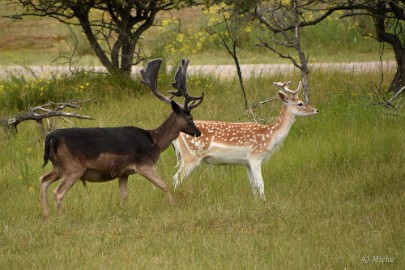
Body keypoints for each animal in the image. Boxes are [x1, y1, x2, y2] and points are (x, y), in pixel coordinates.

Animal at [39, 58, 204, 217]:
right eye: (190, 118)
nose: (198, 132)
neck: (155, 141)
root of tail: (51, 137)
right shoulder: (145, 164)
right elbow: (164, 185)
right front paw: (173, 205)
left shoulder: (124, 172)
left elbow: (123, 195)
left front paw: (122, 211)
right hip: (73, 167)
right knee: (57, 192)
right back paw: (60, 216)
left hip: (58, 166)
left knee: (43, 180)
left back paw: (46, 215)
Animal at [172, 80, 318, 198]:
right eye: (300, 103)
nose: (316, 110)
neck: (271, 134)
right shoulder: (255, 157)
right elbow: (261, 184)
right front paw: (264, 202)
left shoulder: (246, 162)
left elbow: (253, 185)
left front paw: (256, 202)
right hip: (190, 156)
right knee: (176, 179)